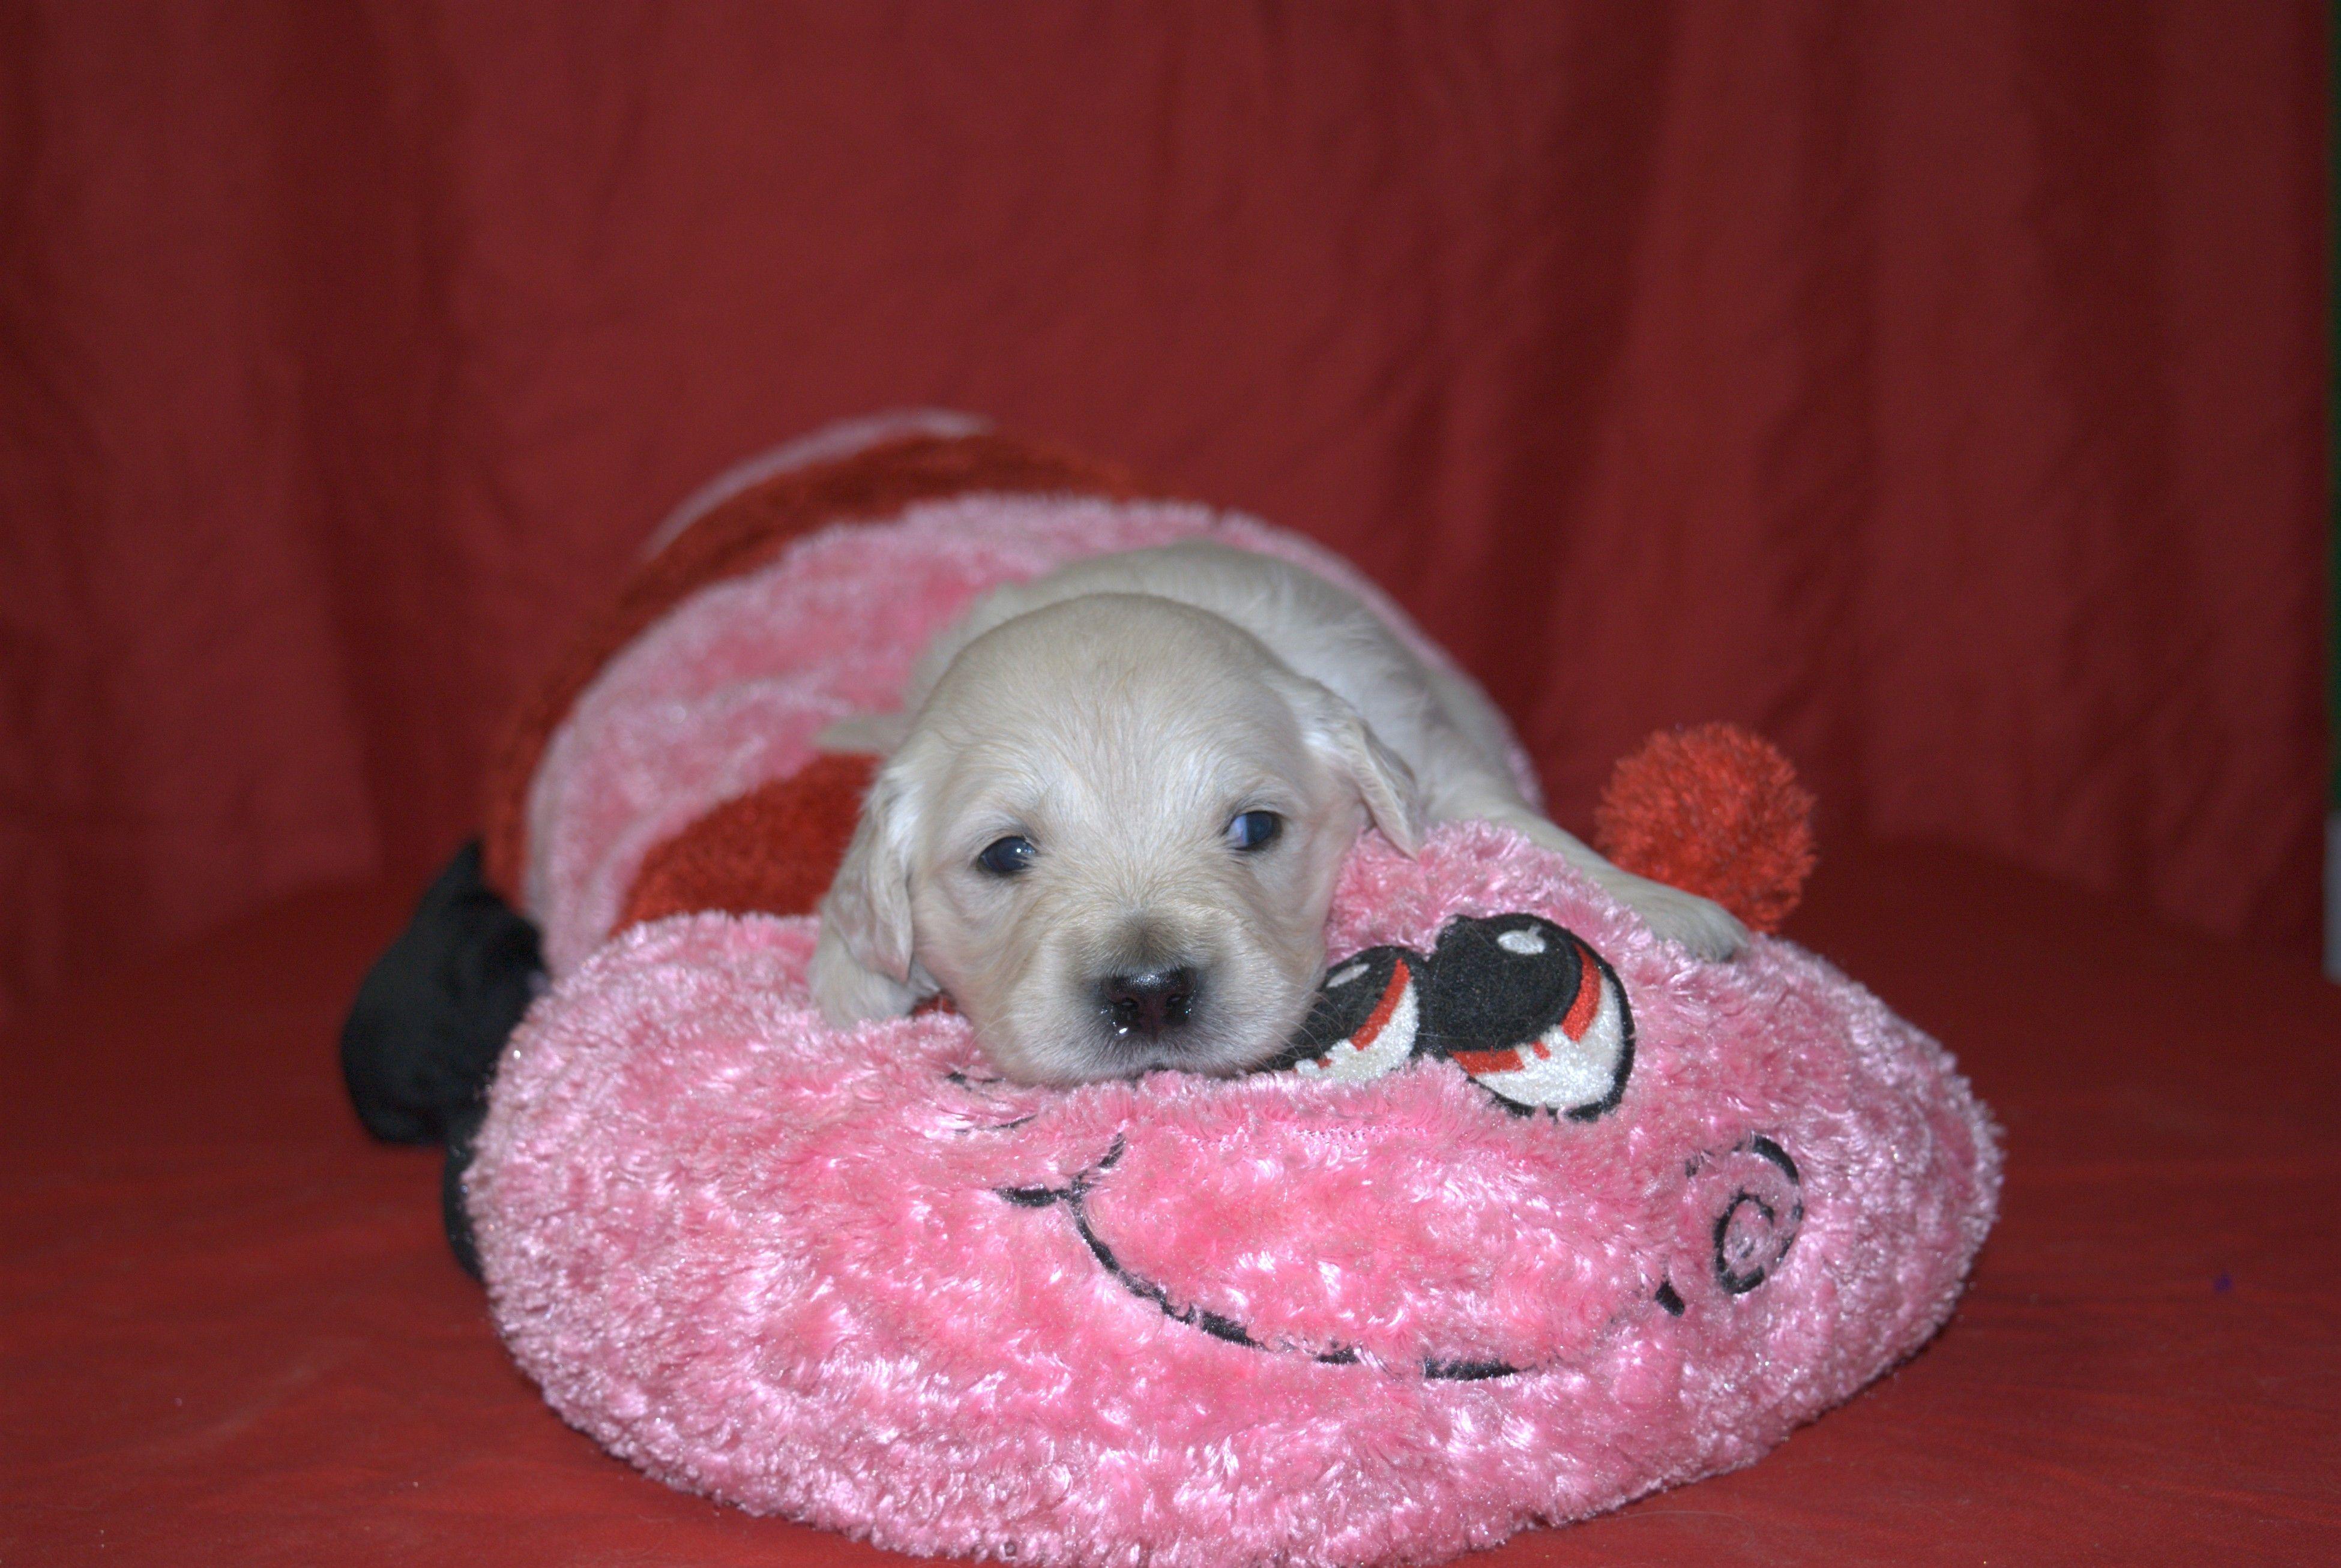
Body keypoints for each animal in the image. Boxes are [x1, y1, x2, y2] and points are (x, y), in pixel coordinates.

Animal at [810, 540, 1744, 1083]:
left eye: (1255, 830)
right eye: (1005, 854)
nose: (1150, 993)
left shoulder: (1428, 754)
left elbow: (1519, 825)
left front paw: (1674, 910)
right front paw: (851, 981)